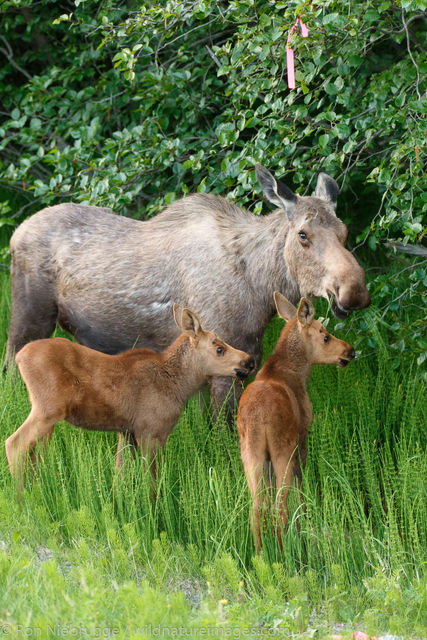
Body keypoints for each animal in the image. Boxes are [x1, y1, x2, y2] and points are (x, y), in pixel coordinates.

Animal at [5, 166, 370, 410]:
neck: (261, 286)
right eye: (303, 234)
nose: (353, 291)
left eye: (344, 232)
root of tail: (15, 232)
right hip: (28, 318)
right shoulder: (226, 366)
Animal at [7, 304, 254, 490]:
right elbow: (151, 483)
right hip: (47, 410)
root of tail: (20, 357)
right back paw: (22, 499)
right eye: (219, 349)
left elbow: (121, 478)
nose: (249, 361)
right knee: (14, 443)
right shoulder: (152, 431)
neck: (179, 385)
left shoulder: (126, 432)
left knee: (32, 454)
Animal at [239, 294, 356, 552]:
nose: (350, 351)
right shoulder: (302, 439)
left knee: (256, 508)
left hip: (251, 455)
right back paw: (290, 553)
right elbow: (300, 491)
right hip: (282, 450)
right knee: (280, 507)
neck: (300, 372)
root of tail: (259, 417)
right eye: (325, 335)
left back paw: (261, 555)